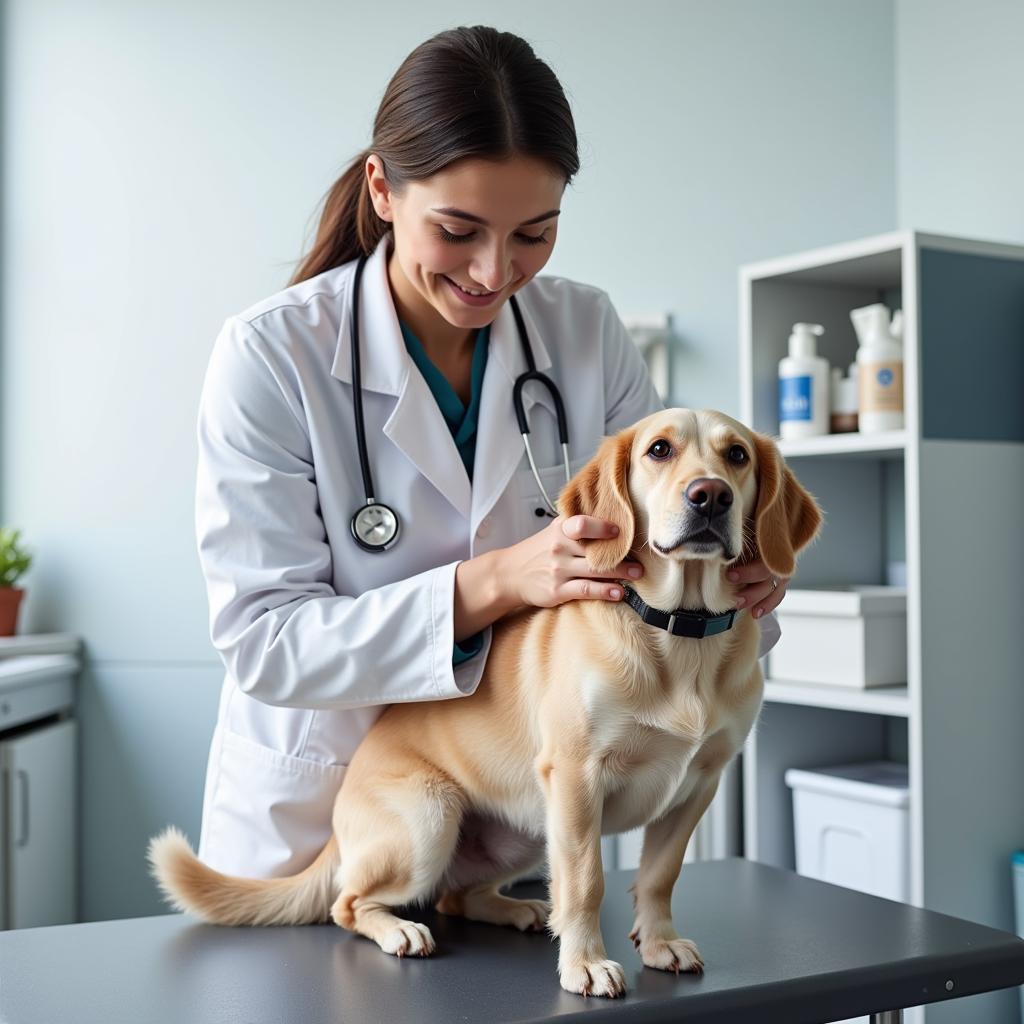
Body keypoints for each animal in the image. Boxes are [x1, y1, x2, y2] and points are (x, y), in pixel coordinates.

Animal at [151, 409, 819, 999]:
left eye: (737, 455)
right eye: (660, 449)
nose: (710, 497)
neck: (681, 635)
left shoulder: (698, 783)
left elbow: (659, 876)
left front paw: (658, 944)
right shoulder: (577, 779)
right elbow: (587, 882)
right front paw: (585, 964)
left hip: (528, 827)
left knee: (455, 895)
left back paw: (518, 911)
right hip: (433, 817)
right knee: (349, 903)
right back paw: (399, 930)